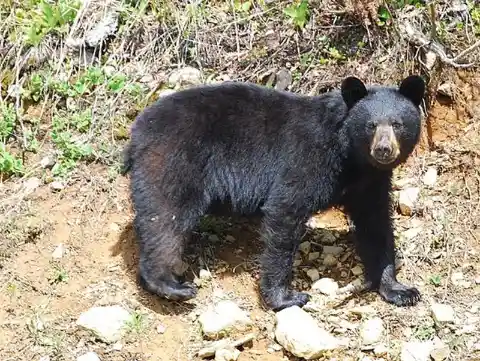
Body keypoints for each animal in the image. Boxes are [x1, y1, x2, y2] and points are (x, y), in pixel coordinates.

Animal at [122, 74, 426, 310]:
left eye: (397, 124)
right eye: (370, 125)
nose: (383, 149)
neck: (351, 158)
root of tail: (136, 133)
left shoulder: (370, 183)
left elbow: (376, 225)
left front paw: (399, 289)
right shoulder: (308, 158)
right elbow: (285, 211)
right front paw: (286, 297)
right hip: (174, 159)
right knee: (166, 217)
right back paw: (169, 284)